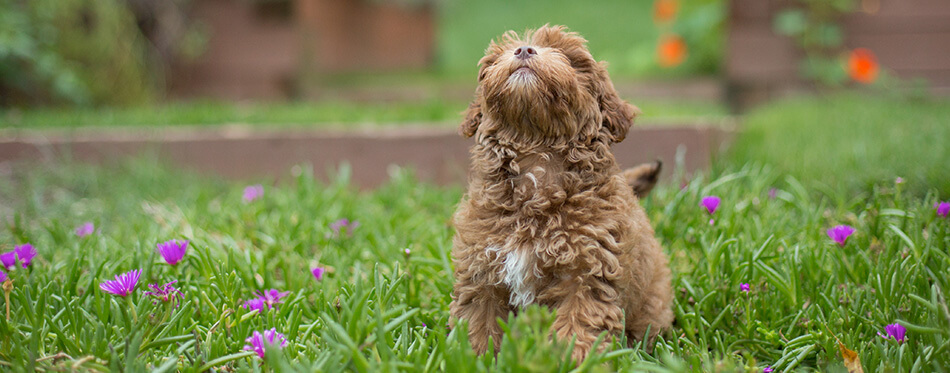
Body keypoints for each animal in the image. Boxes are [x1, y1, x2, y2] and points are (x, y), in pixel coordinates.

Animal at [450, 25, 672, 360]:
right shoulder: (481, 267)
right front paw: (472, 357)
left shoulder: (587, 269)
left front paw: (574, 358)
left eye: (568, 57)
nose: (524, 50)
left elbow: (579, 319)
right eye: (496, 58)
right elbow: (478, 320)